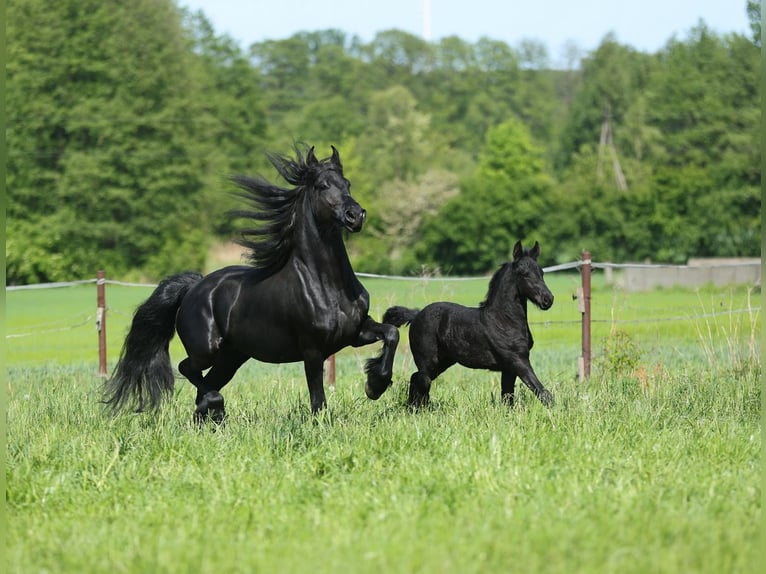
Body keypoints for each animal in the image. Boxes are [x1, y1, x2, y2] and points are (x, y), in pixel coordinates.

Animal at [104, 145, 402, 424]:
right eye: (322, 186)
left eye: (347, 183)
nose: (356, 216)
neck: (327, 285)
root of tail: (194, 287)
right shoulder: (312, 350)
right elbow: (318, 399)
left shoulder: (354, 332)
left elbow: (391, 333)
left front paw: (375, 385)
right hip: (207, 350)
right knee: (188, 369)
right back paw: (216, 407)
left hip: (232, 357)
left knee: (205, 385)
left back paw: (211, 418)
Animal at [388, 242, 556, 410]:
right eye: (523, 273)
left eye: (541, 272)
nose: (548, 299)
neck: (503, 320)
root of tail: (416, 315)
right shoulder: (517, 360)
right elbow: (542, 392)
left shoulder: (509, 368)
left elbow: (508, 396)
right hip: (428, 361)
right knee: (421, 380)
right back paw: (417, 409)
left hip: (444, 361)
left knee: (417, 379)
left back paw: (415, 408)